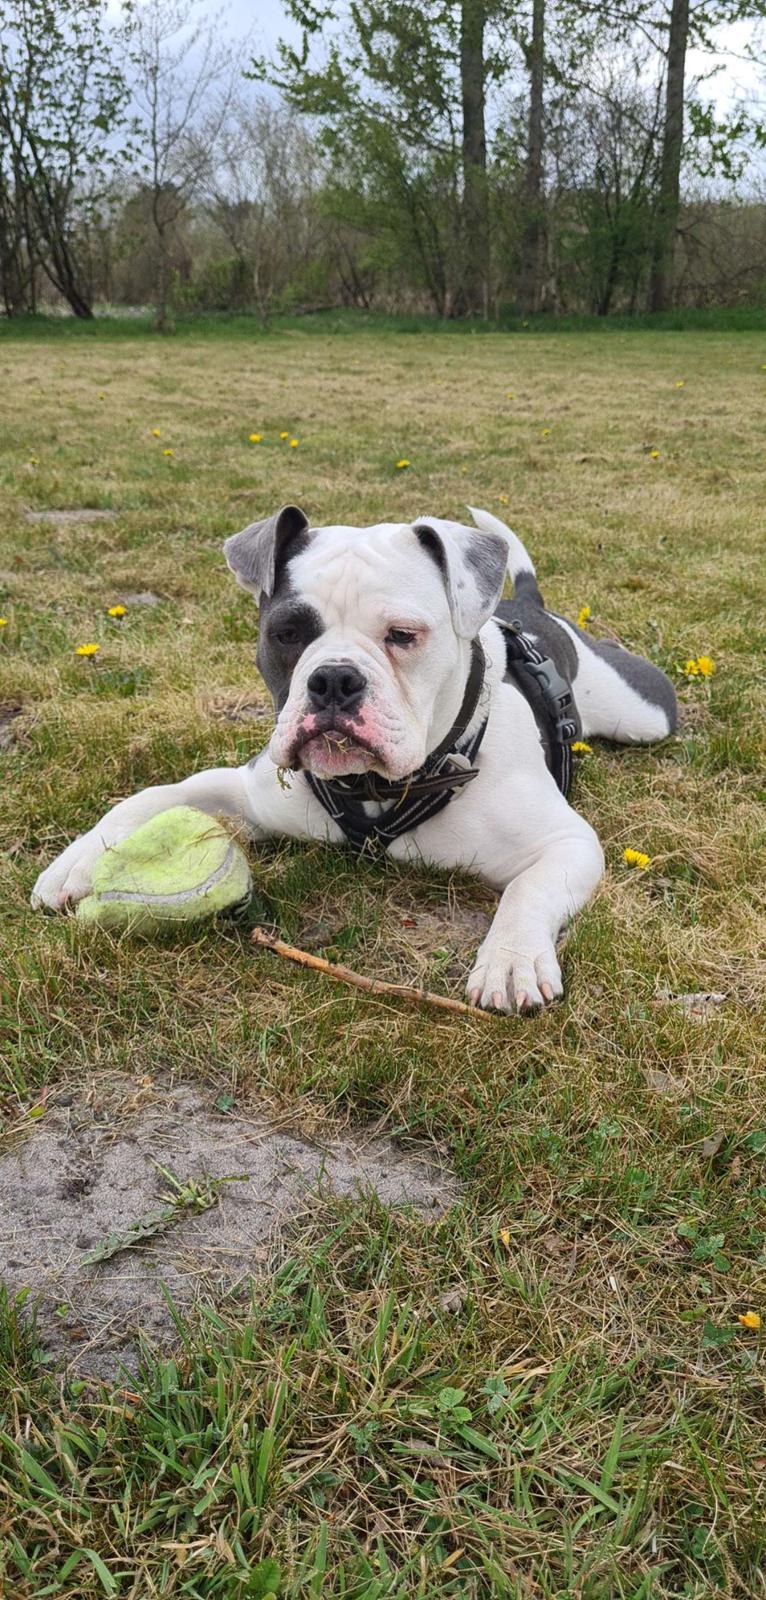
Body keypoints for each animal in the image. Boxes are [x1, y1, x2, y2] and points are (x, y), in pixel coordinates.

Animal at [31, 505, 678, 1011]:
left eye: (404, 635)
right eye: (287, 632)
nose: (334, 680)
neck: (377, 787)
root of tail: (529, 608)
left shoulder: (567, 844)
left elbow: (529, 890)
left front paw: (511, 961)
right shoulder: (246, 792)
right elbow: (152, 796)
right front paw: (78, 862)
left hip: (645, 715)